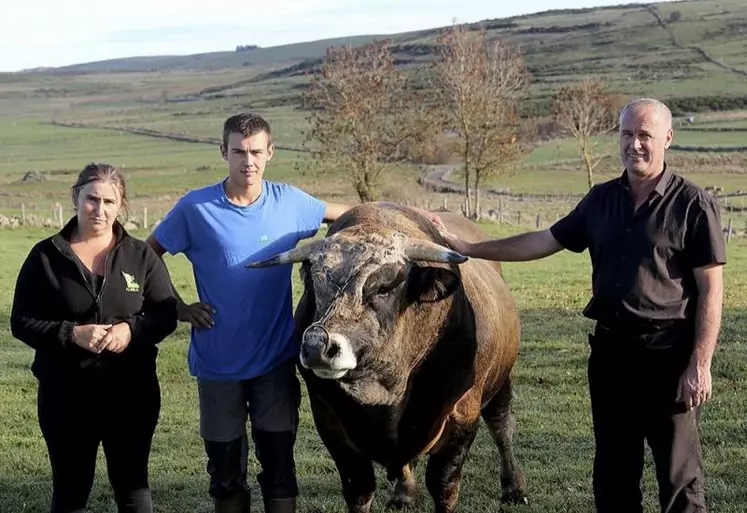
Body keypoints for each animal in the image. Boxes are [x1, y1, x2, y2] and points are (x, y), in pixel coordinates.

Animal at [245, 202, 524, 510]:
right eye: (314, 285)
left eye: (383, 288)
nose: (318, 345)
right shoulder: (329, 422)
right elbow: (359, 488)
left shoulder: (462, 414)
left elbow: (444, 485)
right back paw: (404, 494)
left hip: (501, 382)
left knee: (502, 428)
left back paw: (514, 487)